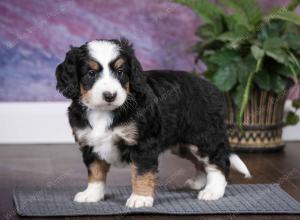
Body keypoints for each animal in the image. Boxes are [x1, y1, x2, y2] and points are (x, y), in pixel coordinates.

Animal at [54, 37, 251, 208]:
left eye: (120, 72)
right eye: (91, 73)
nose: (110, 96)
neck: (104, 112)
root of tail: (210, 87)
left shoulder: (144, 145)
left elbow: (141, 173)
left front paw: (140, 198)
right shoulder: (89, 144)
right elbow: (95, 172)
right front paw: (92, 194)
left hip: (204, 136)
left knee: (219, 161)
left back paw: (213, 190)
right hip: (182, 144)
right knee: (200, 162)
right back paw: (198, 182)